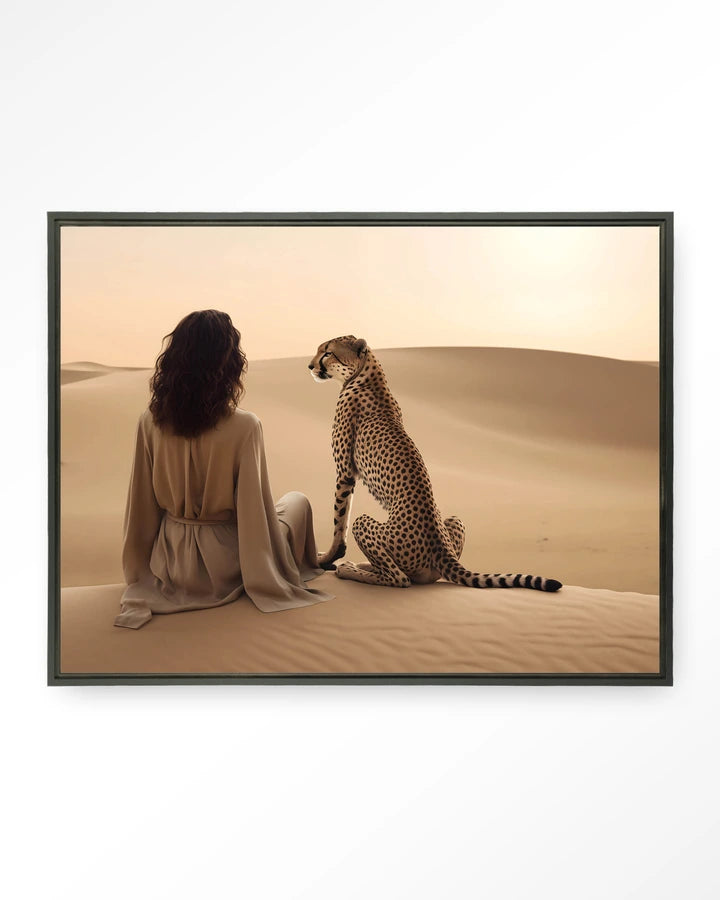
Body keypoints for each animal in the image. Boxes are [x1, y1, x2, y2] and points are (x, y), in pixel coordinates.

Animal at [308, 335, 562, 592]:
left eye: (327, 353)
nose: (310, 366)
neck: (367, 374)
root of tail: (441, 551)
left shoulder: (345, 472)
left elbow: (339, 521)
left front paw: (325, 559)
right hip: (454, 521)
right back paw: (366, 566)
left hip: (369, 527)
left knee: (400, 579)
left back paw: (351, 569)